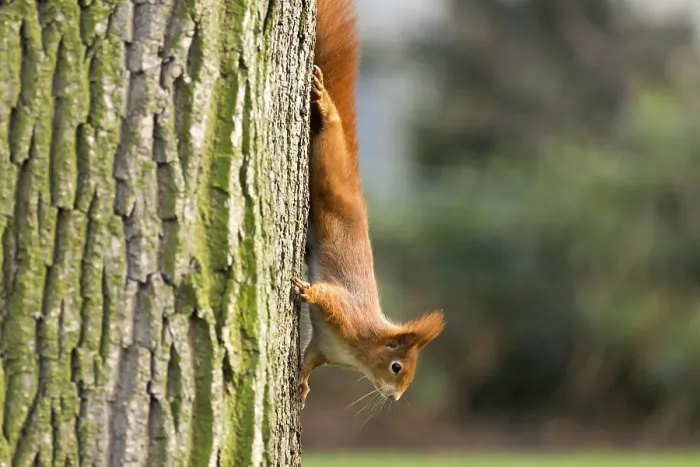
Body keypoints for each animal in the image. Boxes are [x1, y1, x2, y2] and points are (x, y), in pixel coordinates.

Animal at [291, 0, 445, 409]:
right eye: (397, 367)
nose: (396, 397)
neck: (359, 349)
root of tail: (357, 187)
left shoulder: (322, 347)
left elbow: (309, 361)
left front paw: (303, 384)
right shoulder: (347, 313)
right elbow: (326, 295)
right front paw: (306, 290)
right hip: (331, 175)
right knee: (331, 134)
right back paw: (326, 106)